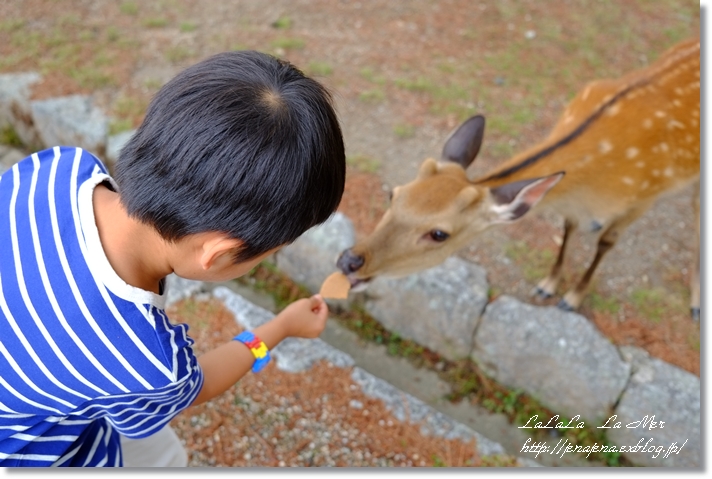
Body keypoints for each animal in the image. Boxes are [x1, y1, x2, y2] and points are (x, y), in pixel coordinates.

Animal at [336, 37, 700, 320]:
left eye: (439, 234)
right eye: (394, 194)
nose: (349, 261)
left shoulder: (647, 193)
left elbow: (607, 242)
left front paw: (571, 298)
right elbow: (568, 226)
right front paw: (547, 285)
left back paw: (696, 303)